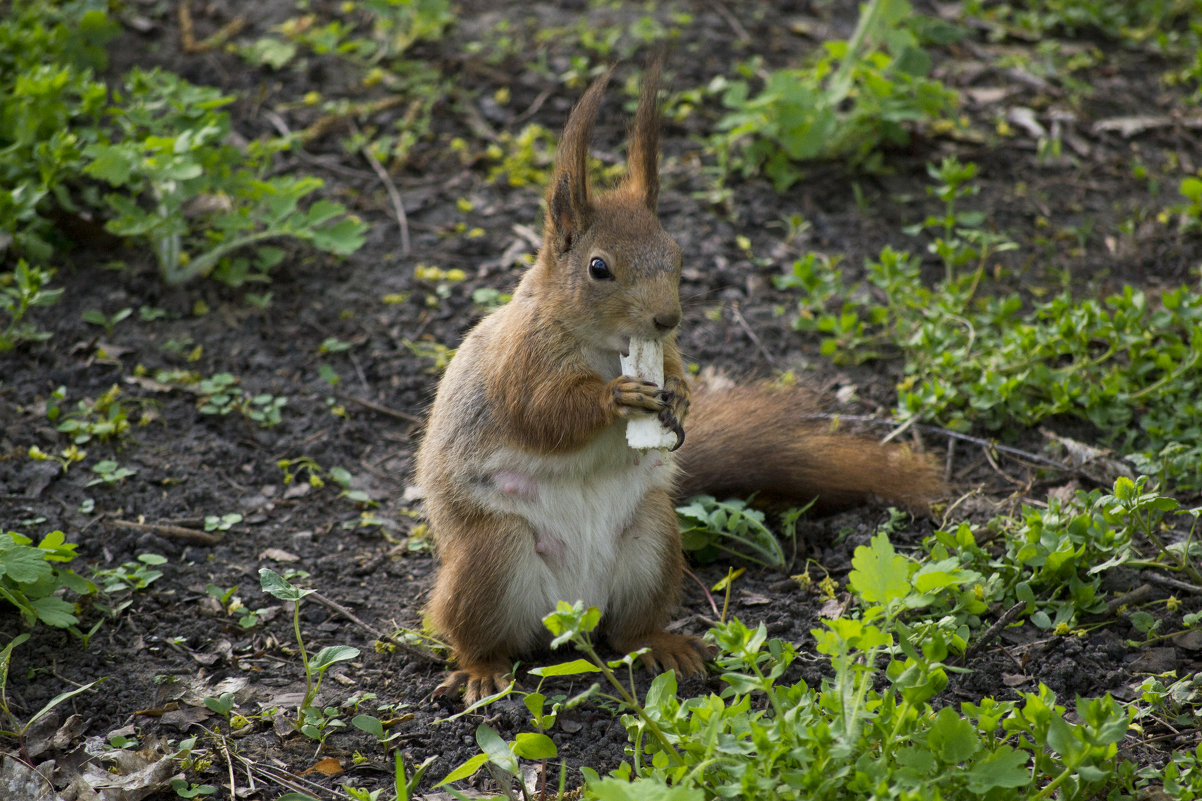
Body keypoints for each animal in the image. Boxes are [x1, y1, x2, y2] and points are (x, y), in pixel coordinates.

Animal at [418, 59, 942, 702]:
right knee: (473, 631)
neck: (605, 347)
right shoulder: (520, 364)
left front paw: (683, 398)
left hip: (653, 541)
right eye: (598, 268)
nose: (668, 317)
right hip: (491, 559)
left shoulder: (663, 351)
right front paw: (617, 397)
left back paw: (665, 646)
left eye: (676, 253)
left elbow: (674, 372)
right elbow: (543, 416)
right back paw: (481, 669)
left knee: (630, 633)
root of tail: (575, 612)